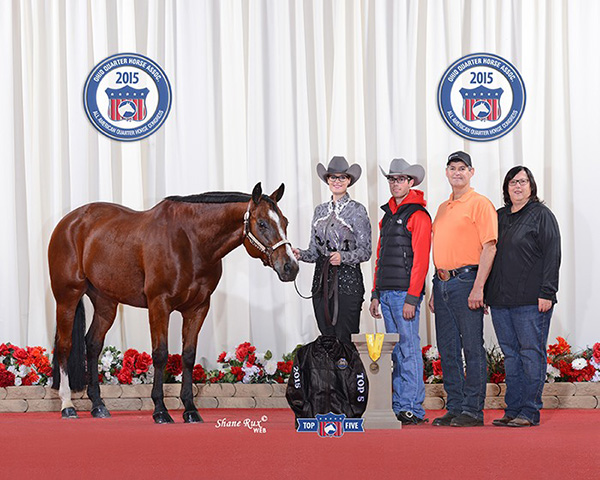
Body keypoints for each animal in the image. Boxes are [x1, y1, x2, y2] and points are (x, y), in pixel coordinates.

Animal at [49, 182, 298, 422]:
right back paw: (67, 405)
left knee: (92, 344)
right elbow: (160, 354)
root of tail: (70, 221)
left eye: (285, 221)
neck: (190, 242)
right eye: (262, 223)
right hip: (67, 296)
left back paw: (98, 405)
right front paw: (160, 410)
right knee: (64, 345)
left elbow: (188, 356)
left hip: (105, 302)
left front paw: (190, 410)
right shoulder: (159, 304)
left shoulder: (198, 308)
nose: (290, 267)